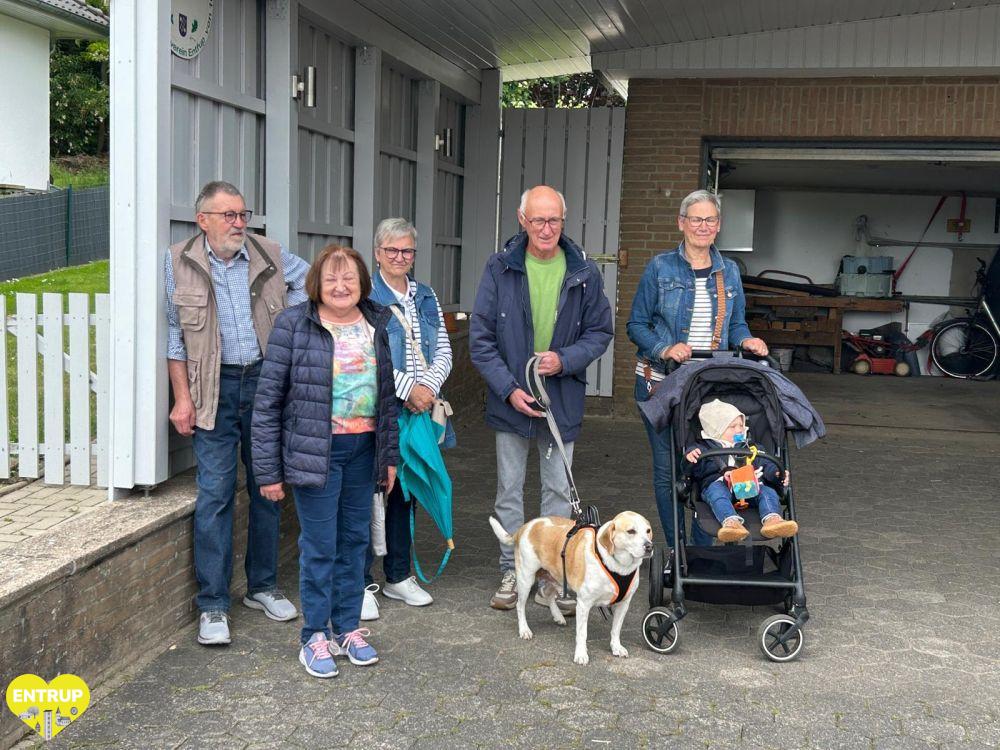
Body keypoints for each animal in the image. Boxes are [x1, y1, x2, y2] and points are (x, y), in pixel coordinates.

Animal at [489, 511, 654, 665]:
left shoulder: (623, 604)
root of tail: (525, 526)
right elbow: (582, 633)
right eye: (631, 531)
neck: (619, 567)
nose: (649, 546)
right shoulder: (584, 605)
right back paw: (524, 630)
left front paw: (616, 647)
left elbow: (616, 629)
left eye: (648, 530)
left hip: (555, 576)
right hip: (526, 579)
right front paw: (581, 654)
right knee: (520, 606)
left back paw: (558, 616)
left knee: (548, 595)